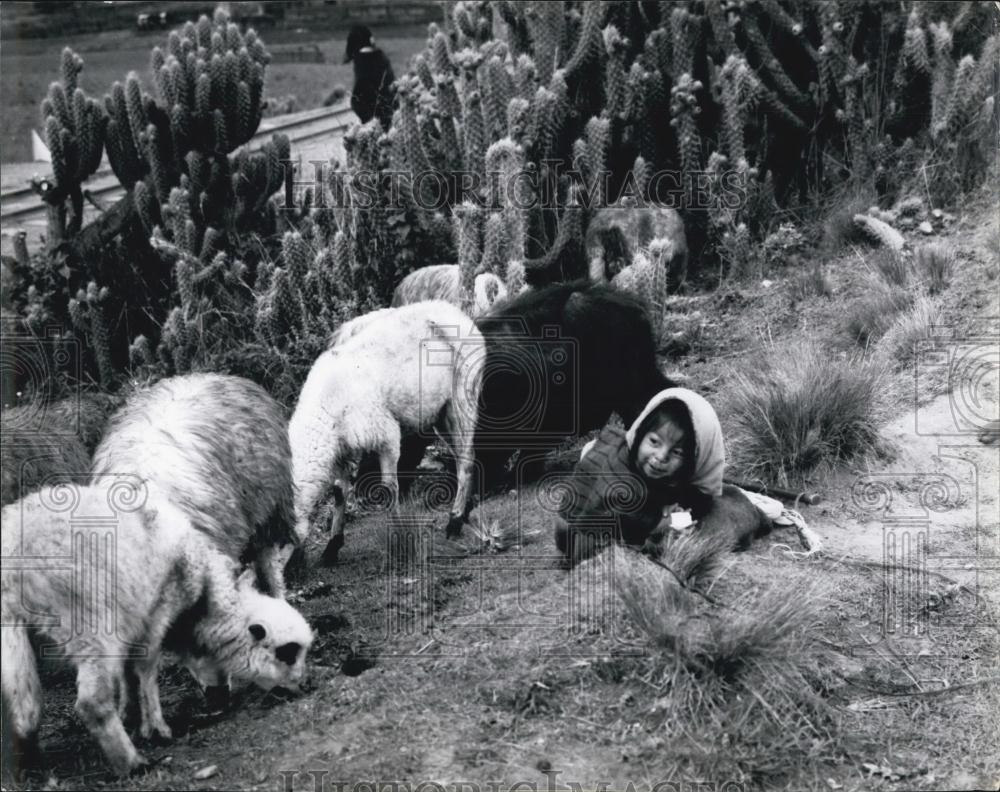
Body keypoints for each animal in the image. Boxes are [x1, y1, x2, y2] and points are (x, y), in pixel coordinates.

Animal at [0, 486, 312, 776]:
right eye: (287, 652)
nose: (303, 687)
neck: (204, 595)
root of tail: (19, 552)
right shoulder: (155, 612)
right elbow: (146, 668)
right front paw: (155, 728)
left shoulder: (132, 624)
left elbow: (127, 672)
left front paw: (130, 713)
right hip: (90, 622)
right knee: (91, 702)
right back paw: (131, 764)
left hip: (11, 627)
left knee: (24, 703)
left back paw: (29, 765)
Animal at [290, 296, 484, 564]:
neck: (325, 404)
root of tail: (452, 309)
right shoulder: (340, 448)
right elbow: (339, 492)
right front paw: (332, 546)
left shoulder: (386, 434)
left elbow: (389, 489)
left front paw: (400, 538)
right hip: (441, 412)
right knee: (460, 454)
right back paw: (464, 512)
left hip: (462, 396)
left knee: (465, 459)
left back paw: (454, 522)